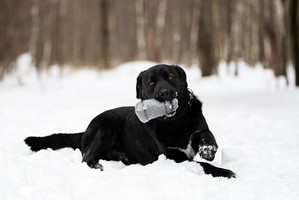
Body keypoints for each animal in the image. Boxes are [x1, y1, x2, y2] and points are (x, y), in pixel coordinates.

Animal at [25, 64, 237, 178]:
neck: (174, 121)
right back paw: (97, 165)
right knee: (86, 158)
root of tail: (84, 131)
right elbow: (202, 165)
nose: (165, 93)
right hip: (107, 126)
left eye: (170, 76)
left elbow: (206, 132)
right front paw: (225, 172)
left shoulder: (198, 127)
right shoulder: (173, 157)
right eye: (151, 82)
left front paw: (208, 150)